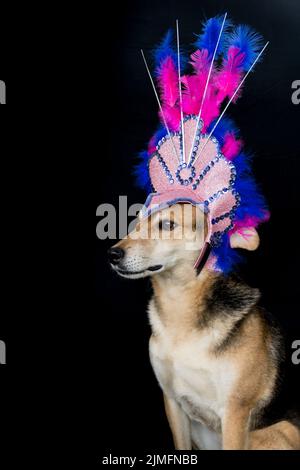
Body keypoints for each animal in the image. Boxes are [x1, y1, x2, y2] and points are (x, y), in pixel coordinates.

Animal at [109, 204, 298, 450]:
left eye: (167, 225)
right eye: (137, 224)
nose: (112, 254)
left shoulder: (234, 411)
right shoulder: (172, 401)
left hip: (271, 432)